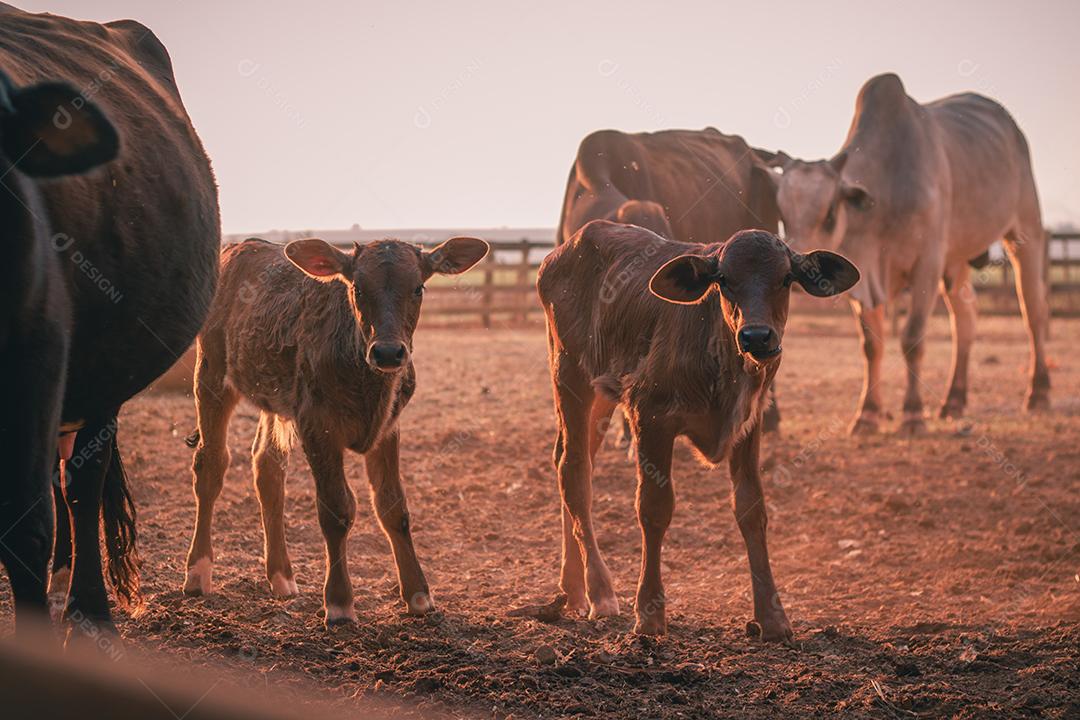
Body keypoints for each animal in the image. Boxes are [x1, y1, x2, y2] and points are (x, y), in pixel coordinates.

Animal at [183, 236, 488, 625]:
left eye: (418, 287)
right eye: (357, 288)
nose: (388, 353)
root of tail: (241, 245)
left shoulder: (388, 427)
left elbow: (393, 507)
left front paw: (418, 594)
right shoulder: (317, 425)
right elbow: (336, 509)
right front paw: (340, 602)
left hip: (273, 396)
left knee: (268, 468)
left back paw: (281, 576)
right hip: (211, 374)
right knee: (210, 465)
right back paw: (198, 572)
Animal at [537, 220, 859, 636]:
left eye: (786, 278)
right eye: (723, 279)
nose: (757, 336)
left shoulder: (749, 423)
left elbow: (751, 509)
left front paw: (772, 618)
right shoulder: (649, 414)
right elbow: (654, 508)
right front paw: (650, 613)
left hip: (600, 392)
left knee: (572, 463)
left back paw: (573, 586)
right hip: (569, 374)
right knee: (574, 471)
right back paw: (600, 590)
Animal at [763, 73, 1049, 434]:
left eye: (829, 213)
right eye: (783, 213)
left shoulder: (927, 264)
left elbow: (912, 338)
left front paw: (912, 414)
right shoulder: (863, 278)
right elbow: (872, 345)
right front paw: (868, 414)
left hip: (1025, 231)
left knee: (1033, 312)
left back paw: (1038, 393)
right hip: (956, 261)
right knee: (965, 319)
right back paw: (954, 400)